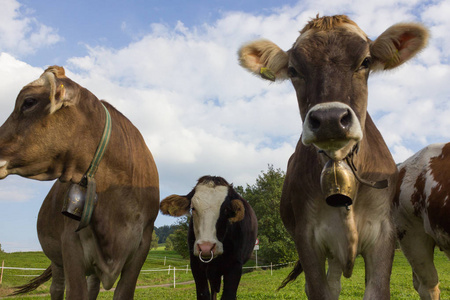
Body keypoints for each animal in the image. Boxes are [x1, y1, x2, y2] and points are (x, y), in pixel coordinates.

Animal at [0, 67, 160, 298]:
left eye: (28, 102)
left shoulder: (141, 247)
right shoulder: (70, 245)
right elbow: (75, 292)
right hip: (57, 260)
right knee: (57, 288)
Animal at [237, 14, 428, 300]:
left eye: (366, 61)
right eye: (293, 70)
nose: (329, 119)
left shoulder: (384, 233)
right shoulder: (307, 238)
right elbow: (319, 289)